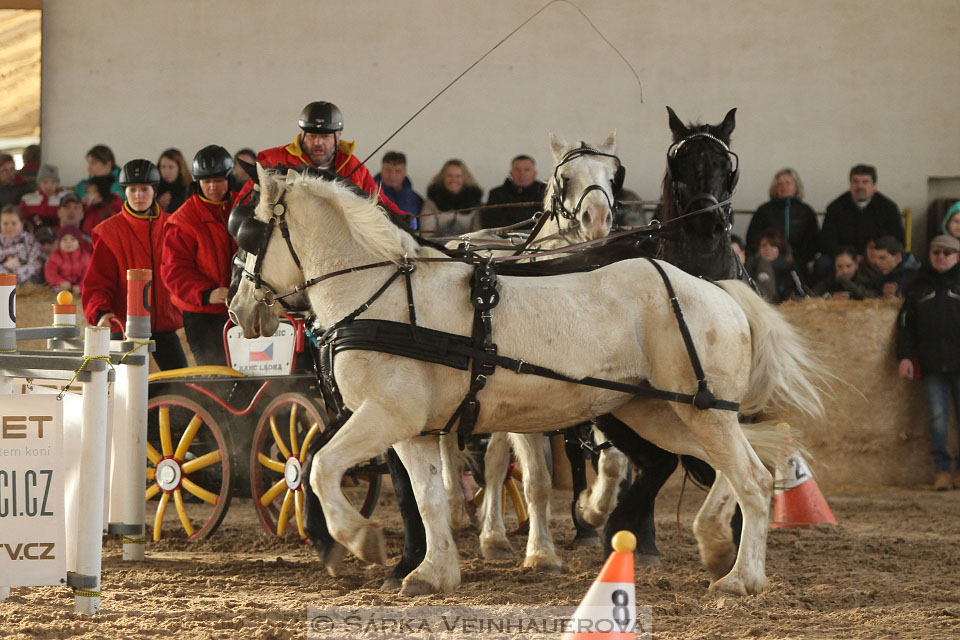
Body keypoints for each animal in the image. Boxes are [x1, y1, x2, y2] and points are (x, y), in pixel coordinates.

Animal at [227, 164, 824, 596]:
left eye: (250, 236)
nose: (238, 311)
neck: (384, 297)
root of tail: (719, 291)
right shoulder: (413, 429)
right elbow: (429, 498)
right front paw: (432, 574)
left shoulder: (383, 415)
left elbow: (321, 467)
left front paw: (362, 541)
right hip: (659, 412)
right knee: (741, 466)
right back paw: (715, 542)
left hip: (700, 410)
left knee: (751, 477)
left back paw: (740, 578)